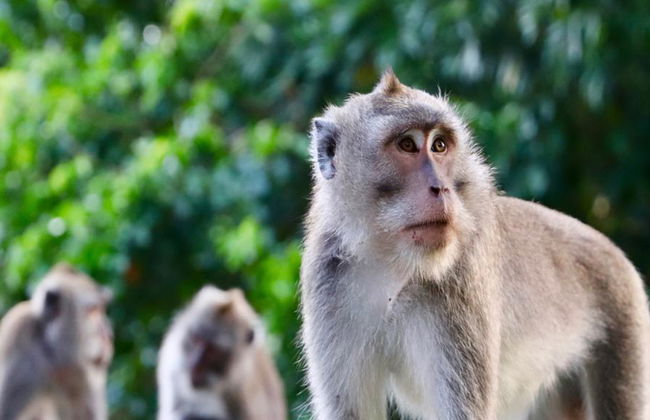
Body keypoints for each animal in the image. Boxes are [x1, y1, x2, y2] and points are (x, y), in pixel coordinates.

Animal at [300, 69, 650, 420]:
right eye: (407, 145)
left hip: (624, 321)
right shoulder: (326, 281)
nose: (441, 187)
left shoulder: (461, 281)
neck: (392, 263)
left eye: (439, 145)